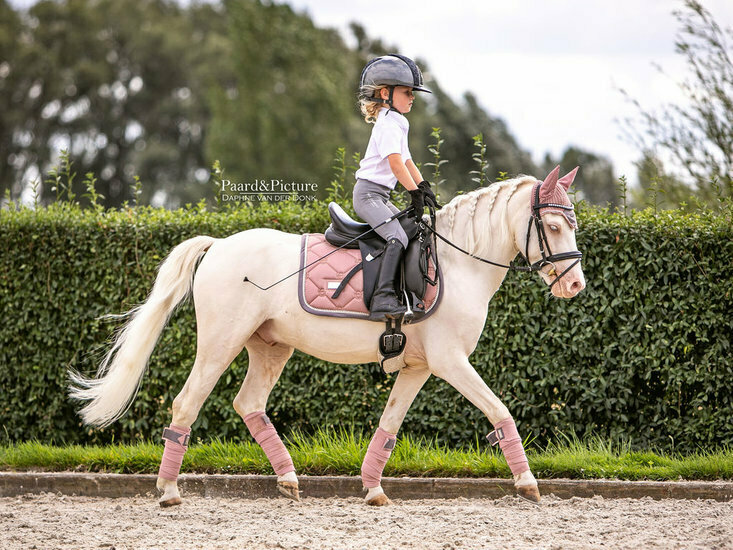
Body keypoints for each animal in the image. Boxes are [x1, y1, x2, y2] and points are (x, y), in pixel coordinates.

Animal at [69, 166, 585, 507]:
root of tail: (218, 246)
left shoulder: (419, 367)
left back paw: (288, 480)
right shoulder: (450, 361)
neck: (459, 263)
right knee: (186, 403)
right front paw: (528, 483)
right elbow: (500, 411)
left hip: (270, 347)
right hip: (220, 343)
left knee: (249, 403)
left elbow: (389, 427)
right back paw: (170, 490)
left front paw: (373, 488)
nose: (576, 285)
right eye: (552, 225)